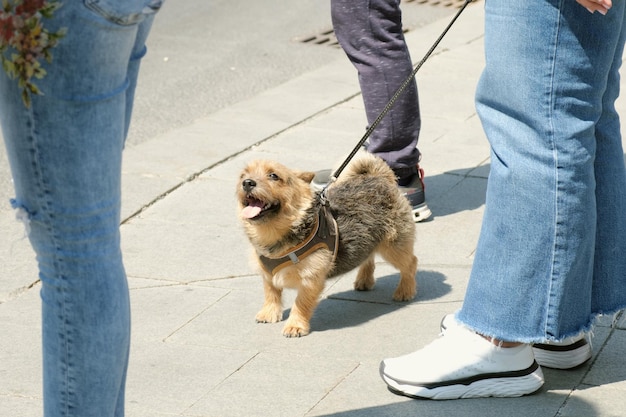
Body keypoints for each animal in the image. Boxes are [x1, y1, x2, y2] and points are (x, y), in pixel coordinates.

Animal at [236, 153, 416, 338]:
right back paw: (364, 280)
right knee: (368, 257)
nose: (247, 183)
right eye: (242, 175)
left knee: (410, 263)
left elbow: (300, 304)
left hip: (393, 248)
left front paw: (295, 325)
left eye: (273, 175)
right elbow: (271, 293)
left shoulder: (310, 279)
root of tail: (379, 176)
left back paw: (405, 290)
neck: (273, 235)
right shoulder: (267, 274)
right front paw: (269, 313)